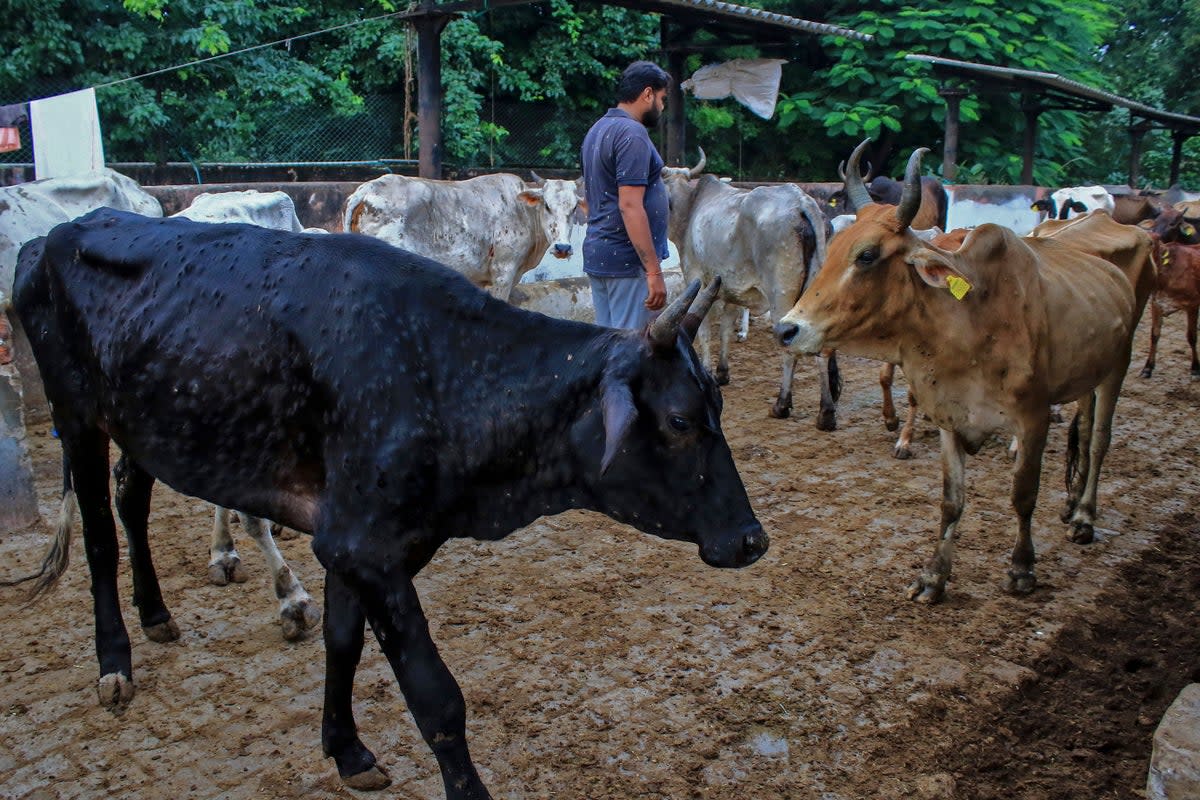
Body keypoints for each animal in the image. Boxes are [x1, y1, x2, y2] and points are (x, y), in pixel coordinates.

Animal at [14, 209, 768, 800]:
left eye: (717, 405)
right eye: (678, 420)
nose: (752, 539)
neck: (444, 371)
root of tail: (50, 236)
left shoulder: (353, 540)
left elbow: (342, 642)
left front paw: (346, 750)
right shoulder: (366, 548)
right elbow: (437, 698)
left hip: (144, 422)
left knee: (131, 500)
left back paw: (156, 613)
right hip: (75, 414)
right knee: (100, 535)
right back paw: (115, 662)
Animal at [772, 143, 1147, 604]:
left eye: (867, 255)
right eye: (835, 243)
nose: (787, 329)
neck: (969, 324)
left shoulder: (1034, 416)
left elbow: (1023, 494)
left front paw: (1022, 569)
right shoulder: (950, 415)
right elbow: (952, 500)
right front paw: (934, 577)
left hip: (1117, 367)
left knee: (1098, 442)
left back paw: (1084, 517)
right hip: (1086, 378)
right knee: (1086, 424)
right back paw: (1070, 503)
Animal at [1137, 236, 1195, 381]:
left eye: (1152, 244)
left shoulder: (1193, 304)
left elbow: (1192, 336)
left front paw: (1195, 369)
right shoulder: (1156, 303)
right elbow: (1155, 334)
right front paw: (1147, 368)